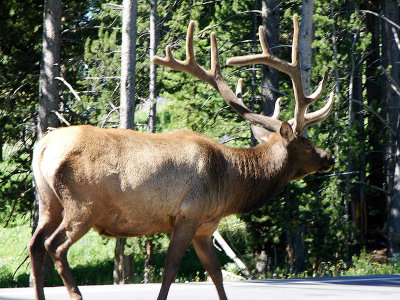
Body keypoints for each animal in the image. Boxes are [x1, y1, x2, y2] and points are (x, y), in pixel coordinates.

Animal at [28, 14, 334, 300]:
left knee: (35, 244)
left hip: (48, 201)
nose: (329, 156)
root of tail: (42, 147)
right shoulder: (188, 215)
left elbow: (215, 273)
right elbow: (170, 270)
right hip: (84, 205)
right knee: (54, 245)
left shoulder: (205, 227)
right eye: (306, 142)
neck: (231, 186)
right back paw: (76, 293)